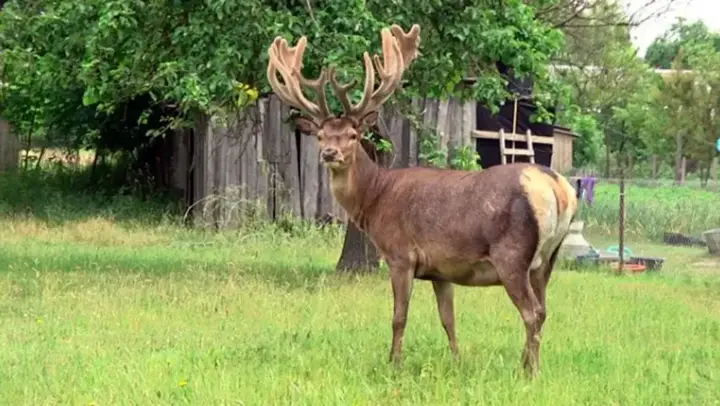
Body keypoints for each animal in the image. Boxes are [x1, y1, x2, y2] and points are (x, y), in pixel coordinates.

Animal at [266, 23, 578, 376]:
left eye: (353, 135)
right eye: (320, 135)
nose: (329, 153)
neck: (375, 198)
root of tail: (557, 188)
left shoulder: (400, 254)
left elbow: (399, 316)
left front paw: (394, 361)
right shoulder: (441, 271)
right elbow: (448, 319)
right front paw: (457, 360)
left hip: (512, 254)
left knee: (532, 312)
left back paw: (529, 371)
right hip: (547, 259)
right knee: (544, 309)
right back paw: (526, 363)